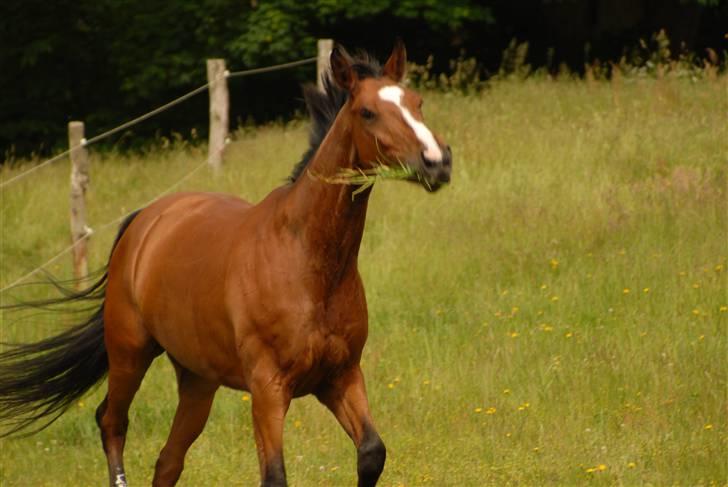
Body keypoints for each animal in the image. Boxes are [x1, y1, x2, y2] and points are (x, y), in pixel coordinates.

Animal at [0, 43, 452, 487]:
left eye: (417, 102)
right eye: (368, 112)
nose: (436, 161)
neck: (309, 263)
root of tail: (145, 221)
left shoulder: (340, 376)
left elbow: (372, 453)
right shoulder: (268, 388)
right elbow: (275, 476)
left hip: (198, 381)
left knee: (167, 463)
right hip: (129, 353)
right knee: (111, 422)